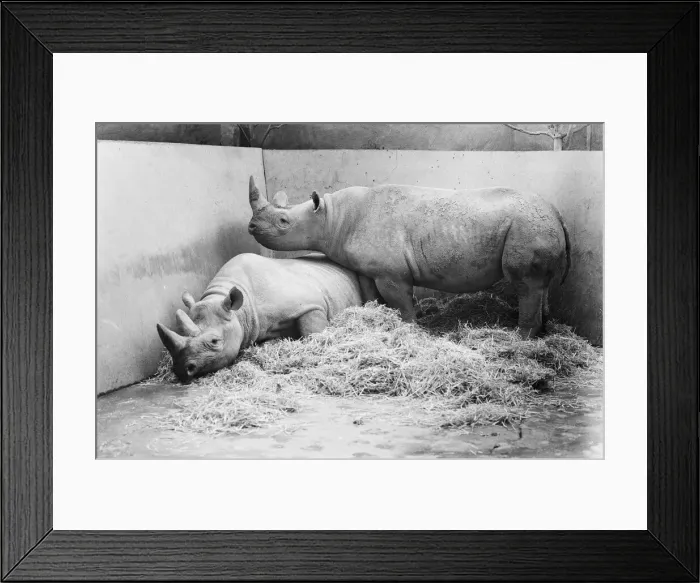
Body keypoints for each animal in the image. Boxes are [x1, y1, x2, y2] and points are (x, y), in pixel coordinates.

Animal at [247, 176, 571, 339]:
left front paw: (409, 329)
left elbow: (401, 303)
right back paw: (541, 332)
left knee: (525, 284)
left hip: (528, 226)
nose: (251, 227)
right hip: (535, 225)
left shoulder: (391, 273)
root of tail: (556, 212)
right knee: (539, 285)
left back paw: (520, 338)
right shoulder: (369, 269)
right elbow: (373, 296)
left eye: (283, 222)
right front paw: (380, 319)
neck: (330, 218)